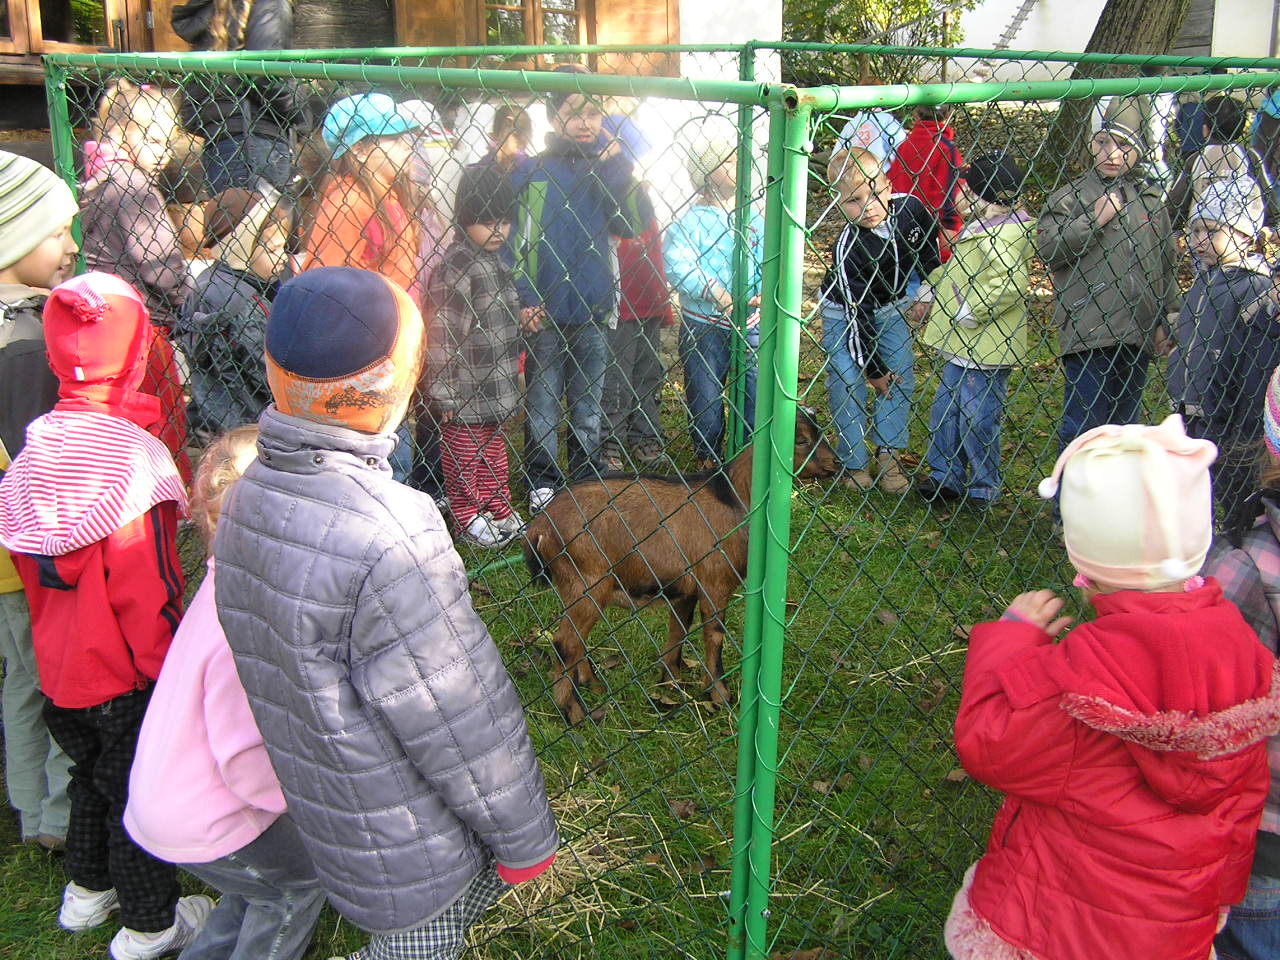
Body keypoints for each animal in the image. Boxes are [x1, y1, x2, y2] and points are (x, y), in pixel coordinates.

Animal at [522, 409, 839, 727]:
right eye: (800, 440)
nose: (837, 463)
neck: (733, 496)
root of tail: (540, 526)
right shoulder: (715, 582)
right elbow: (714, 636)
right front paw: (721, 696)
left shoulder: (685, 589)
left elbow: (678, 632)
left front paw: (671, 683)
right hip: (586, 581)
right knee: (565, 642)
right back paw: (575, 712)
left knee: (576, 641)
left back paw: (593, 684)